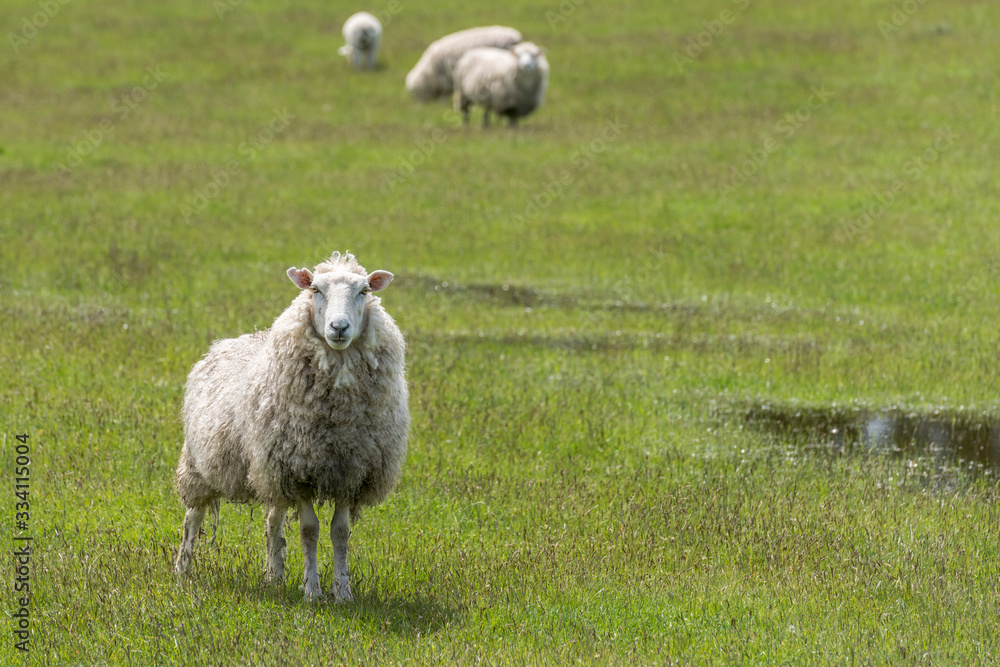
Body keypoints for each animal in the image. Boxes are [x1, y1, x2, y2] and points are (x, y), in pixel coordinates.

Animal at [174, 251, 409, 603]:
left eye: (364, 291)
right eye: (315, 289)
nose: (339, 327)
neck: (337, 420)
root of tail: (224, 343)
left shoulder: (348, 471)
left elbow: (340, 532)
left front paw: (343, 592)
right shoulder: (298, 472)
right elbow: (309, 530)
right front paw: (312, 591)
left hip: (270, 471)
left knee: (273, 521)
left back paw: (274, 575)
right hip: (200, 464)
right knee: (193, 516)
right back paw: (182, 571)